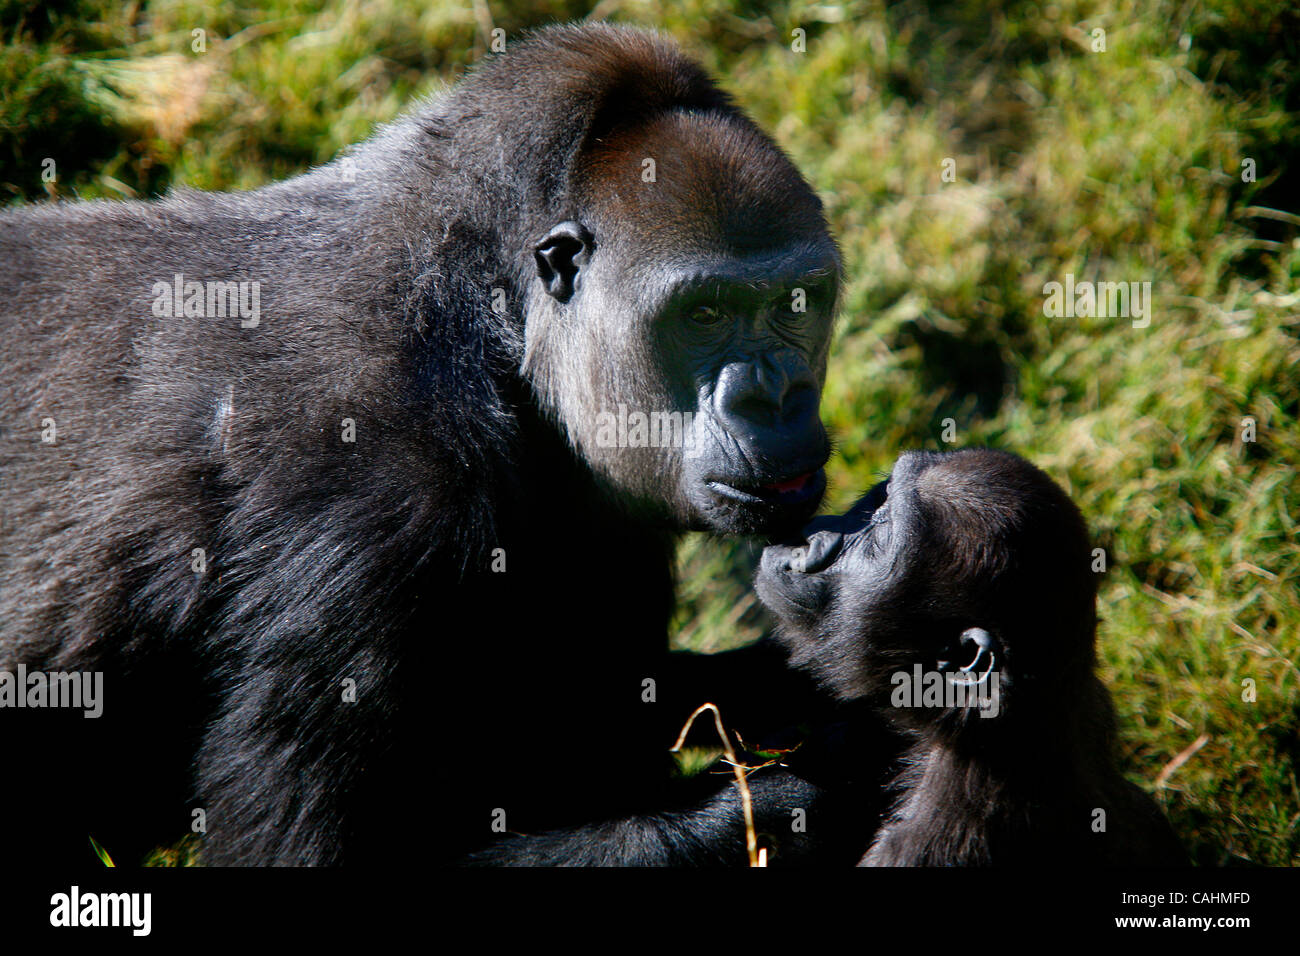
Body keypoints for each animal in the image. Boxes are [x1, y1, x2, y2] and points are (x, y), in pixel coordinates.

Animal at [0, 23, 871, 865]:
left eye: (798, 304)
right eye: (704, 314)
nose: (775, 397)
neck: (483, 314)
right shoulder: (381, 502)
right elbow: (305, 855)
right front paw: (805, 794)